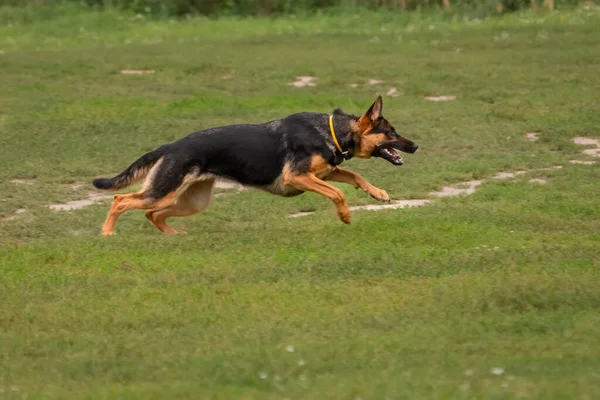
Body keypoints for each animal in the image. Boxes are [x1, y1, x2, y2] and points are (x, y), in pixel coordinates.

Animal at [94, 95, 420, 236]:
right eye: (391, 132)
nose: (416, 146)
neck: (333, 131)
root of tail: (171, 146)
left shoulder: (326, 172)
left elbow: (354, 175)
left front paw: (377, 193)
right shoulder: (298, 177)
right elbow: (338, 193)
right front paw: (345, 215)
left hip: (191, 201)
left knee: (151, 213)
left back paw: (173, 236)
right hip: (164, 191)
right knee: (121, 199)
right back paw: (107, 234)